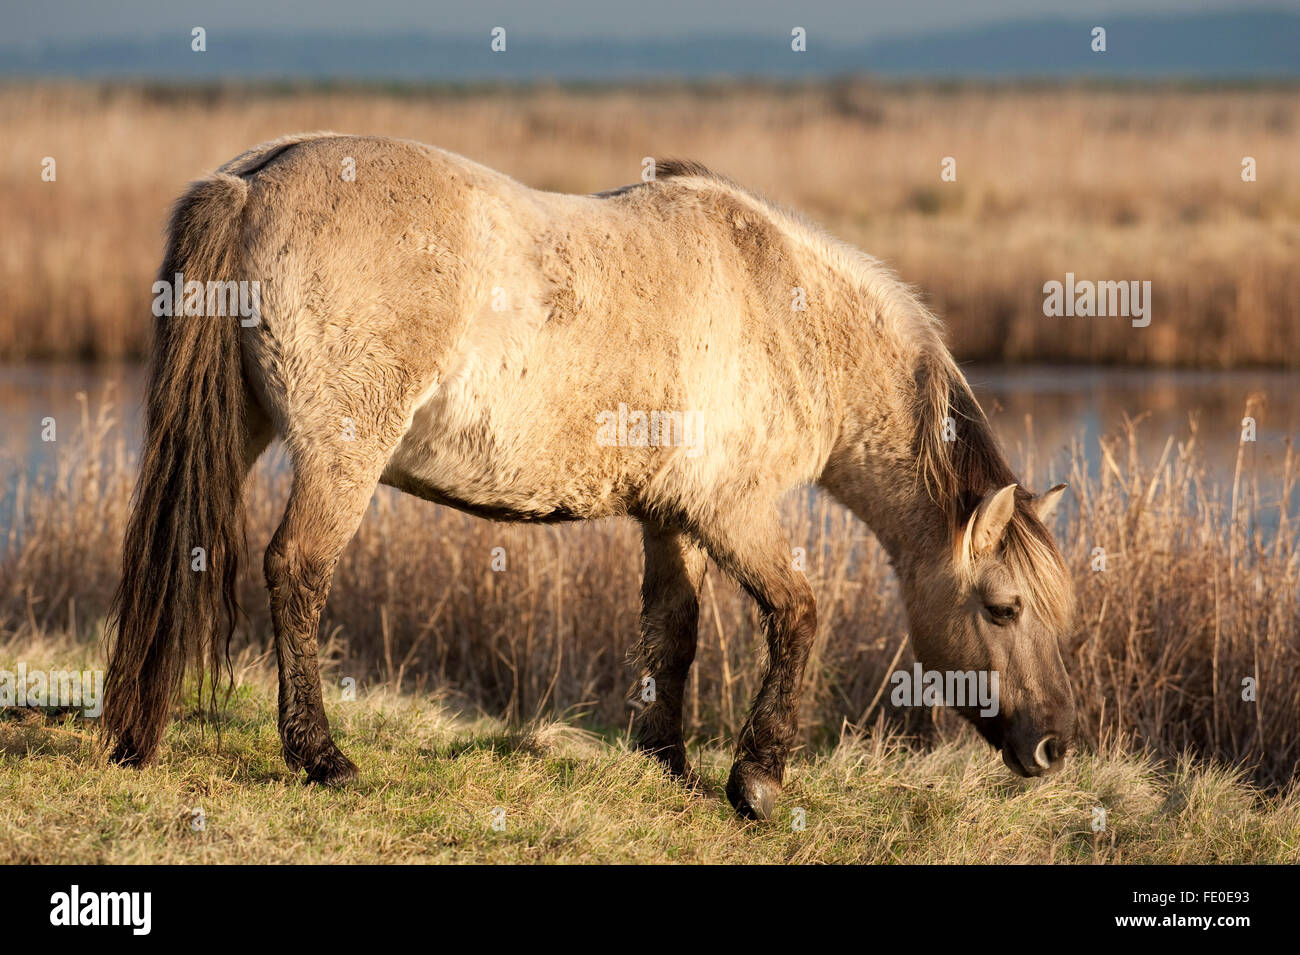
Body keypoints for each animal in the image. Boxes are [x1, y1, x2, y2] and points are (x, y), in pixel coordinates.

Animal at [103, 133, 1077, 820]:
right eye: (1003, 608)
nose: (1054, 748)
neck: (787, 307)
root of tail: (252, 183)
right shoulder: (733, 513)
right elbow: (798, 613)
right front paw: (756, 781)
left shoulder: (672, 517)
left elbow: (673, 630)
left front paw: (670, 765)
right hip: (340, 460)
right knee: (297, 571)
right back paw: (322, 757)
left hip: (238, 434)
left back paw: (135, 730)